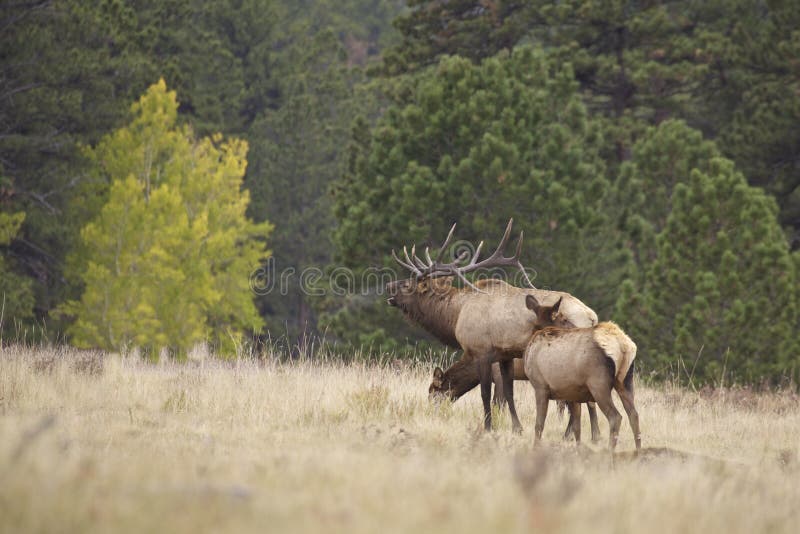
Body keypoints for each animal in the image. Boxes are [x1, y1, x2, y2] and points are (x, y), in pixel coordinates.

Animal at [384, 220, 596, 434]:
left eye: (408, 285)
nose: (388, 285)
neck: (456, 315)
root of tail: (591, 316)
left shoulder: (483, 354)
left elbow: (488, 397)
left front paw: (488, 428)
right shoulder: (505, 357)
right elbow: (509, 396)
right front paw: (517, 429)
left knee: (578, 403)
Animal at [520, 296, 640, 454]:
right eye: (564, 319)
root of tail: (623, 345)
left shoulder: (540, 387)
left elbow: (539, 424)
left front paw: (535, 449)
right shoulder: (572, 394)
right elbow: (577, 427)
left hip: (598, 384)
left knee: (616, 417)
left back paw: (609, 451)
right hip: (626, 381)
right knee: (634, 415)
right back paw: (639, 450)